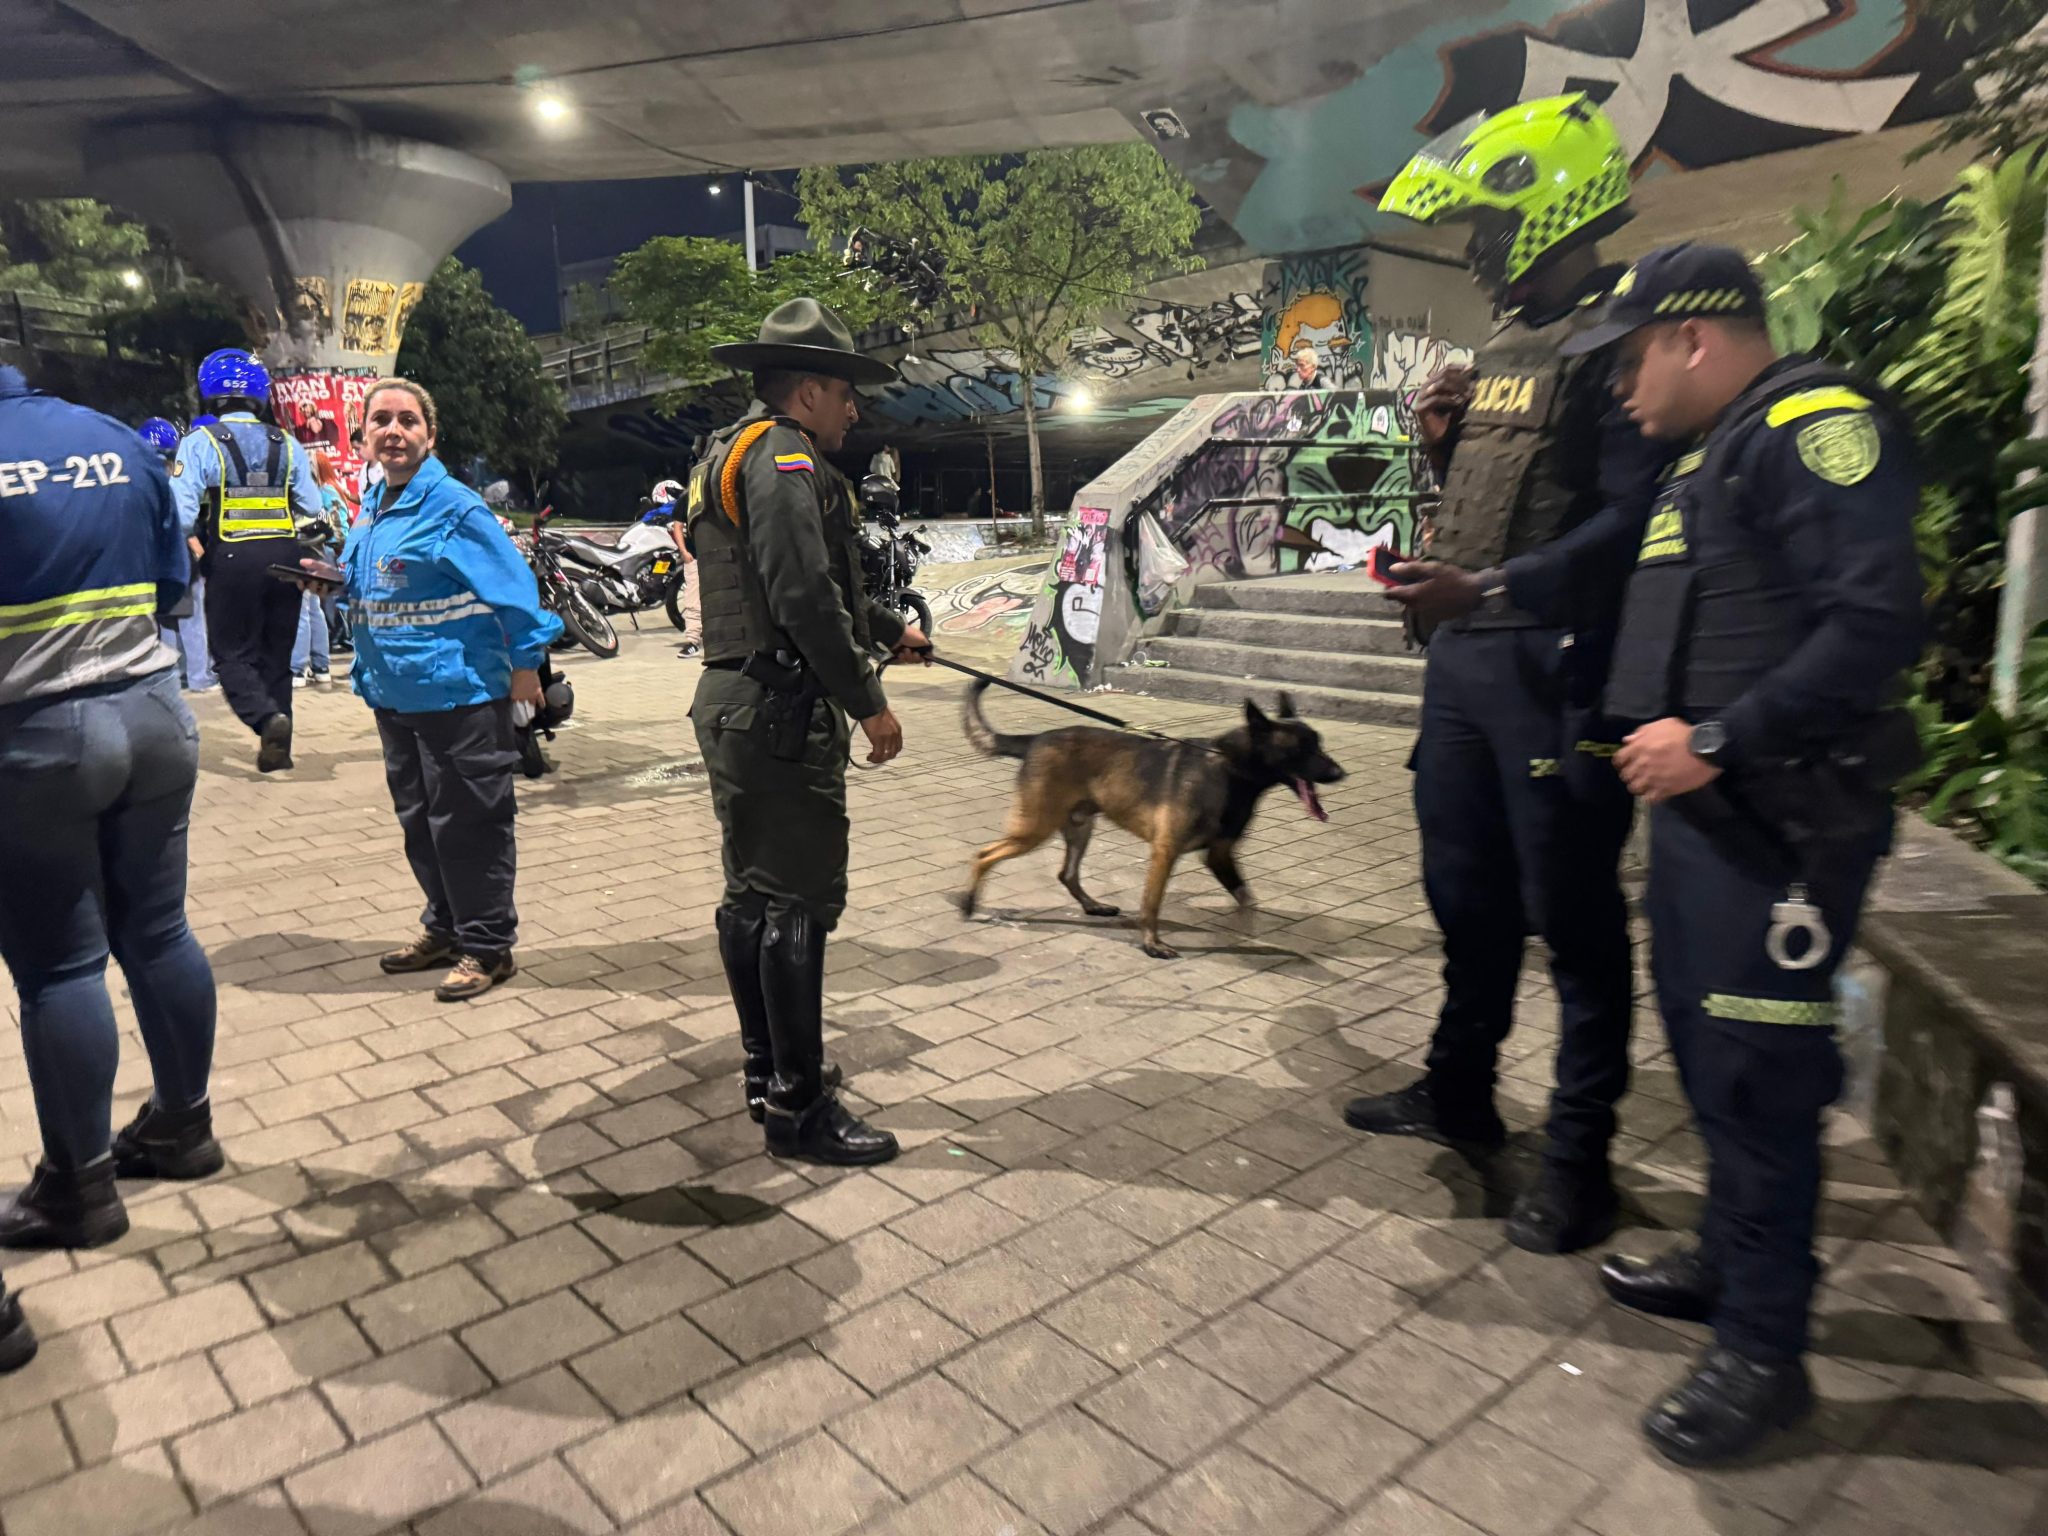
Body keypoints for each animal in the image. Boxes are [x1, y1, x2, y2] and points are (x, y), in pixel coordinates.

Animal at [958, 684, 1343, 958]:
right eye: (1302, 749)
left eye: (1319, 744)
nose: (1341, 773)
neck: (1229, 769)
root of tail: (1036, 739)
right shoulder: (1165, 852)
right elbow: (1152, 904)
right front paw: (1151, 943)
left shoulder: (1219, 855)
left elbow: (1247, 898)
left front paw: (1248, 929)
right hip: (1035, 829)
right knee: (984, 855)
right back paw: (968, 902)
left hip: (1080, 828)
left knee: (1066, 873)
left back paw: (1092, 905)